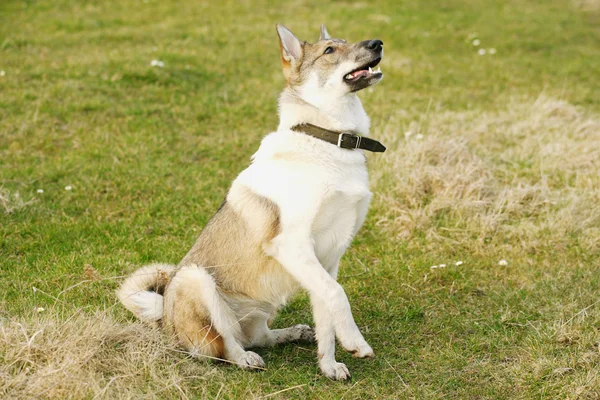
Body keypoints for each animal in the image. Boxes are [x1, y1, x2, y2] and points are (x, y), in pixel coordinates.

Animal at [118, 23, 384, 380]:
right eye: (330, 51)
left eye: (345, 42)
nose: (378, 43)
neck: (327, 139)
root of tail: (164, 319)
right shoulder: (293, 245)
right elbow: (337, 295)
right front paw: (355, 342)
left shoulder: (326, 259)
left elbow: (327, 314)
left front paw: (329, 366)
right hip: (195, 278)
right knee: (227, 345)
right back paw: (245, 358)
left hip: (262, 307)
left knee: (260, 337)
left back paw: (291, 333)